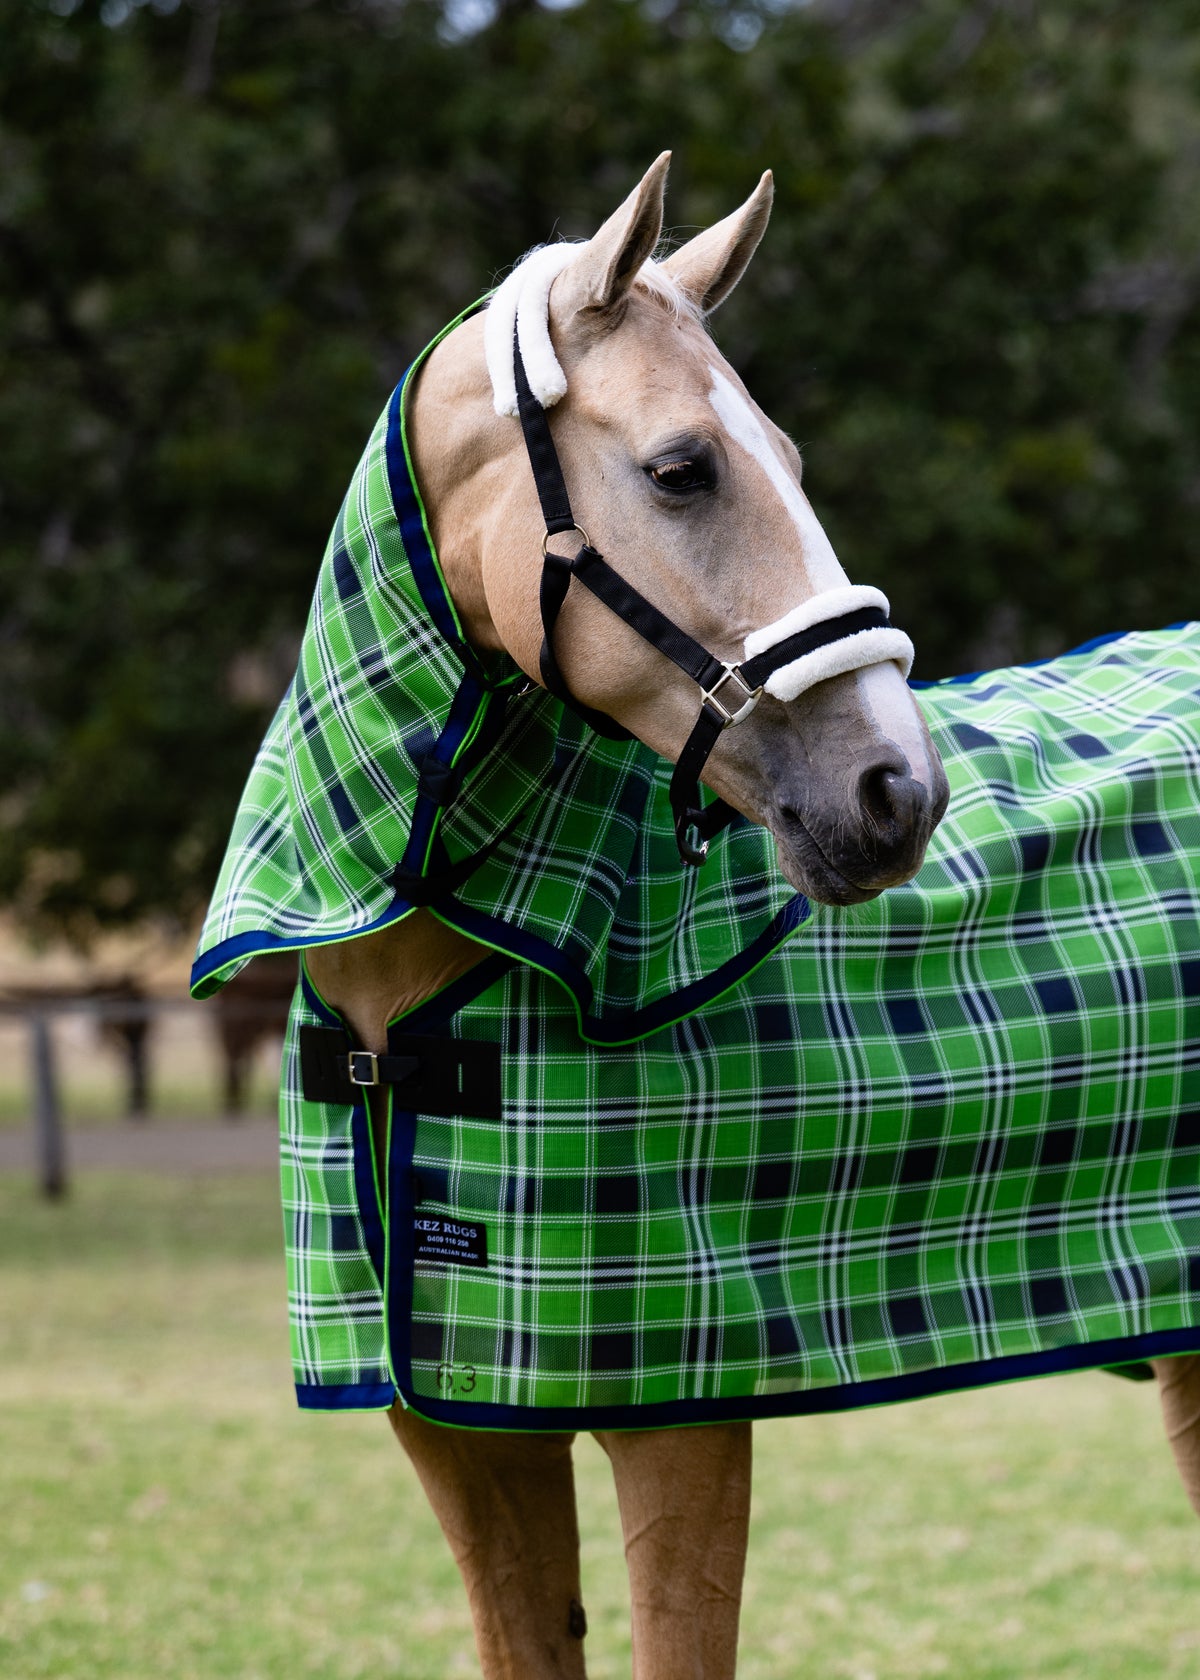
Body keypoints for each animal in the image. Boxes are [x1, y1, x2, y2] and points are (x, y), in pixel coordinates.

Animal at [193, 156, 1200, 1678]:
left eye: (787, 455)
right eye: (683, 468)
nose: (895, 789)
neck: (419, 1008)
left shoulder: (678, 1424)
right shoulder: (461, 1438)